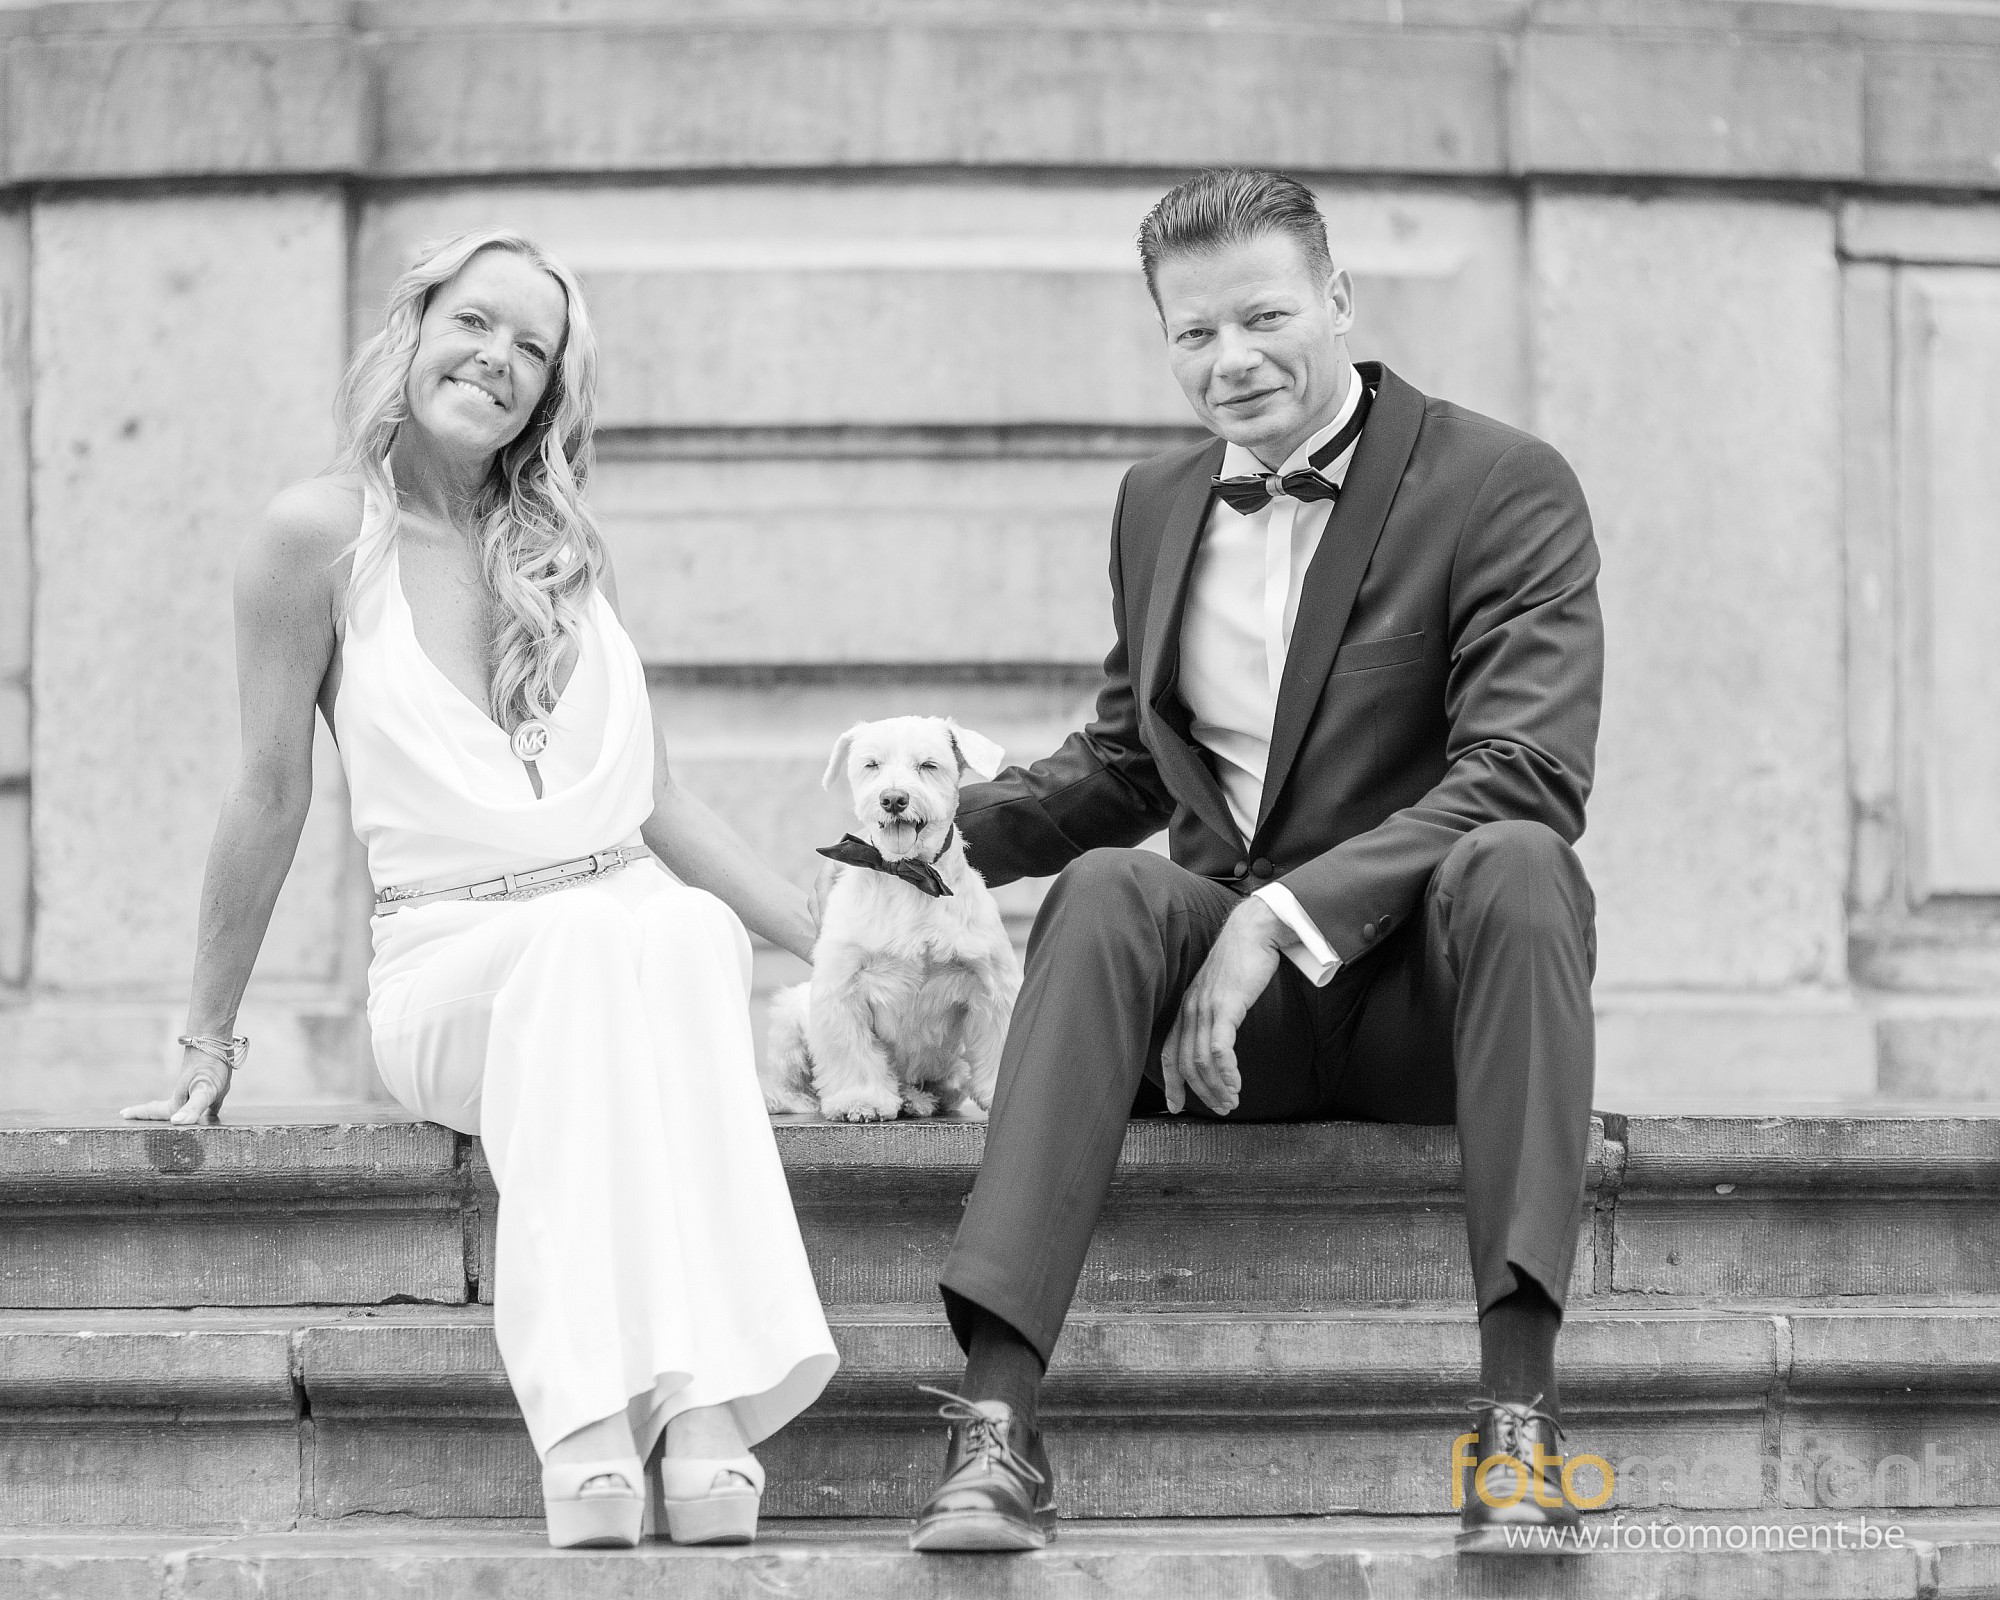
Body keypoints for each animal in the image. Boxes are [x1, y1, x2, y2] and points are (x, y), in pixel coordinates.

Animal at [763, 716, 1022, 1123]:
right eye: (871, 765)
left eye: (928, 765)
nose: (894, 799)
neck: (906, 874)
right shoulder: (843, 986)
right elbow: (853, 1051)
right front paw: (861, 1100)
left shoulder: (991, 983)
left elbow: (999, 1043)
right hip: (788, 1024)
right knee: (784, 1081)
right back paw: (794, 1099)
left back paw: (917, 1099)